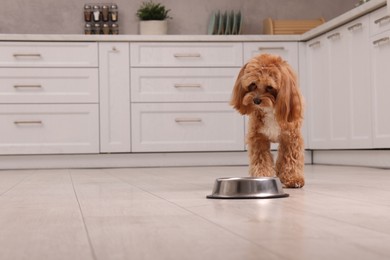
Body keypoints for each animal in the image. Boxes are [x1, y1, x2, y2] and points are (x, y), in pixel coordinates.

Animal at [232, 53, 304, 187]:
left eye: (270, 87)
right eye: (253, 84)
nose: (256, 100)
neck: (270, 109)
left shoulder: (290, 137)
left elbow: (291, 159)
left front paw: (293, 178)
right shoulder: (258, 138)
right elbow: (261, 159)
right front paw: (262, 176)